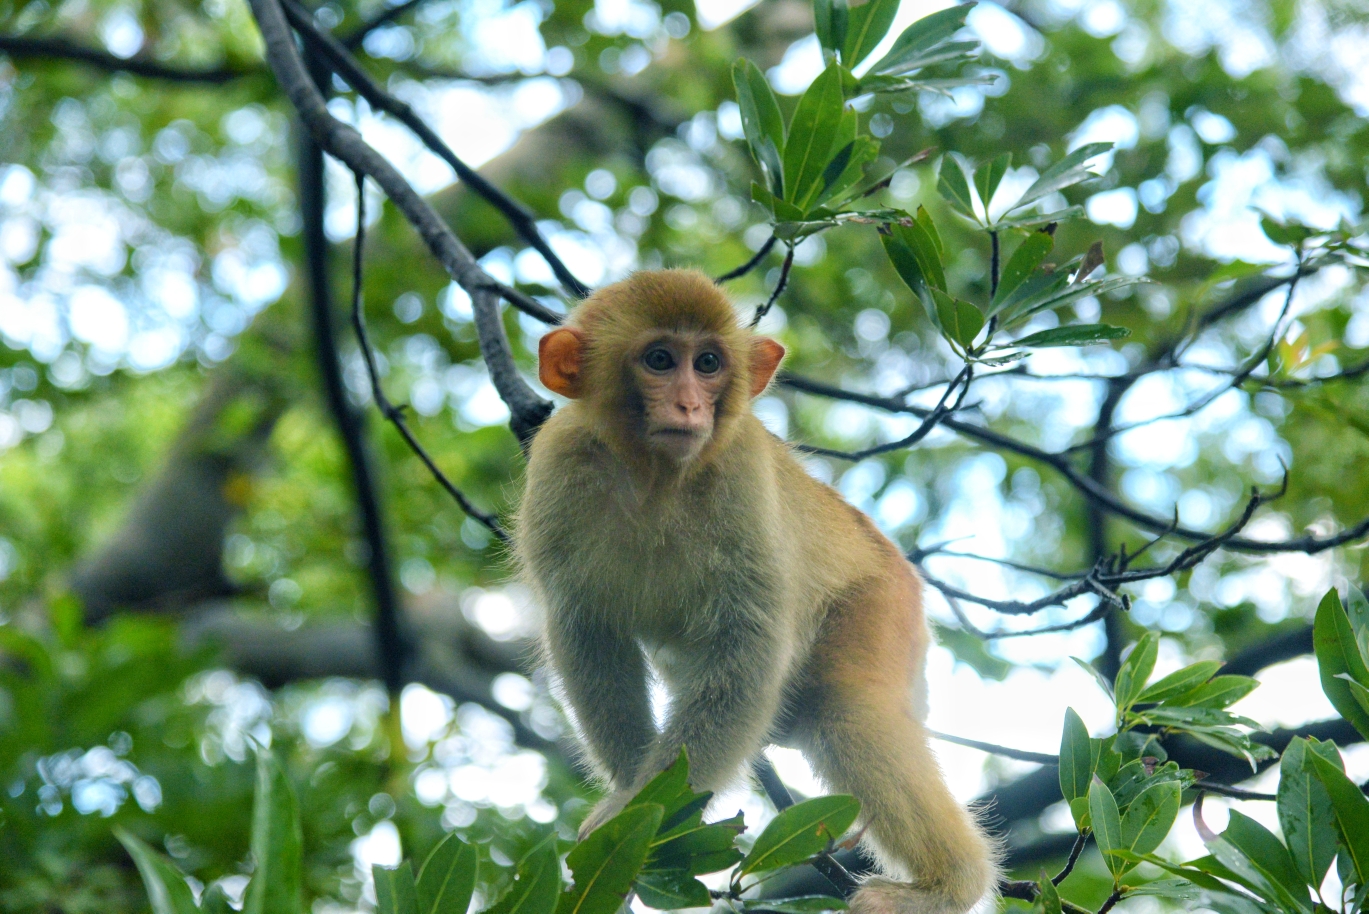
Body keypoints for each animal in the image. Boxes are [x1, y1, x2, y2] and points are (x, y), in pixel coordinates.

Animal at [514, 269, 996, 914]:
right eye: (660, 360)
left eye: (708, 363)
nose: (690, 404)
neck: (654, 475)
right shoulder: (556, 464)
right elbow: (589, 636)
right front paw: (635, 819)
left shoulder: (740, 472)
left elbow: (749, 650)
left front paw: (639, 811)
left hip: (880, 603)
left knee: (849, 709)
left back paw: (948, 885)